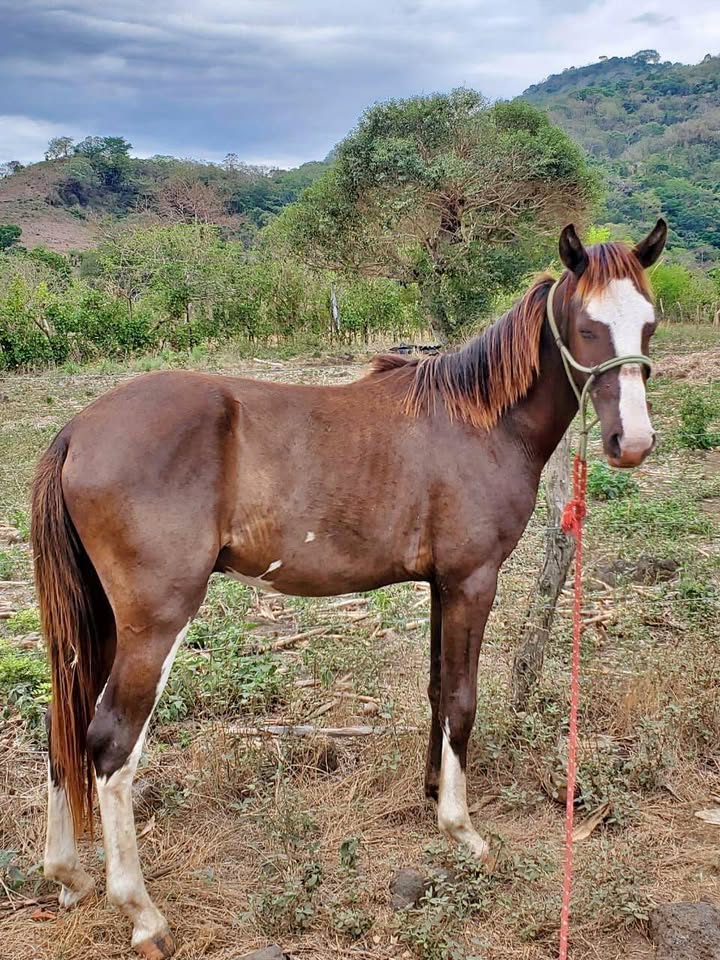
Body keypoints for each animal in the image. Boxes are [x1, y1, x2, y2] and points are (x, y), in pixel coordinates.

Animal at [31, 219, 666, 959]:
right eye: (588, 326)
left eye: (648, 323)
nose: (633, 442)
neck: (479, 422)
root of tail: (78, 430)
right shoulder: (473, 581)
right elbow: (463, 700)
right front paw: (464, 832)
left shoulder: (440, 585)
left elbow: (438, 691)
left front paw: (432, 794)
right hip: (154, 623)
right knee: (109, 743)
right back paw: (141, 913)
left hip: (103, 621)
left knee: (63, 721)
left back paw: (68, 875)